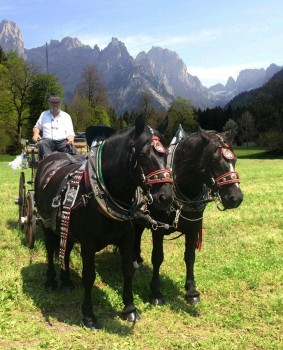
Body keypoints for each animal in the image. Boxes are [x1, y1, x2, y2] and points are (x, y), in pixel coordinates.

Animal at [34, 116, 174, 330]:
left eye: (166, 153)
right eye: (142, 154)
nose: (165, 197)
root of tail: (49, 159)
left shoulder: (127, 239)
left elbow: (128, 270)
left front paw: (130, 309)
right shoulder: (88, 244)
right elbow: (89, 276)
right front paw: (89, 316)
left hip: (66, 226)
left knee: (65, 249)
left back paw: (66, 282)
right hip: (47, 223)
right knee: (51, 250)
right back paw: (51, 281)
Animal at [134, 129, 244, 306]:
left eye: (234, 159)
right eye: (214, 160)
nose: (236, 197)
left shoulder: (193, 228)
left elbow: (190, 257)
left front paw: (191, 290)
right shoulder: (158, 228)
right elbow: (157, 257)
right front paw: (156, 292)